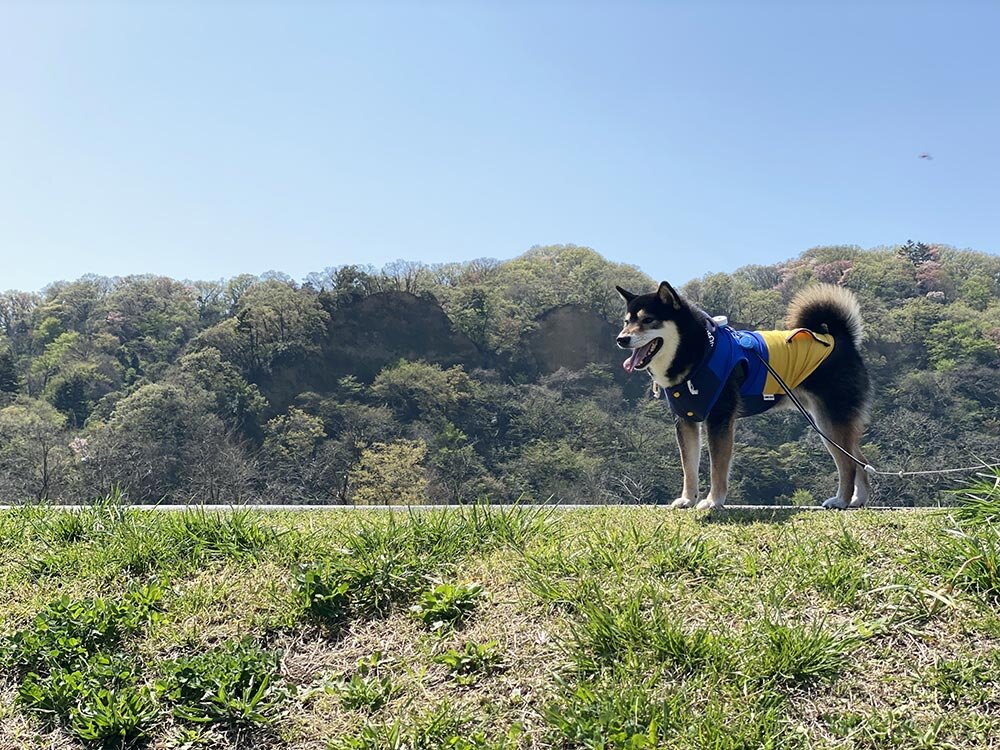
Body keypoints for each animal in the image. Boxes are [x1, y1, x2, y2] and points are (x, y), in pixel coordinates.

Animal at [612, 282, 872, 512]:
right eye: (626, 322)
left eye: (648, 320)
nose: (621, 339)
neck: (699, 352)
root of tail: (840, 338)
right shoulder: (685, 420)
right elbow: (689, 467)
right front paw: (687, 499)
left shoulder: (719, 419)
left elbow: (717, 467)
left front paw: (713, 501)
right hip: (828, 422)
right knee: (859, 458)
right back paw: (857, 499)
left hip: (829, 420)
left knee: (848, 463)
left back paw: (841, 500)